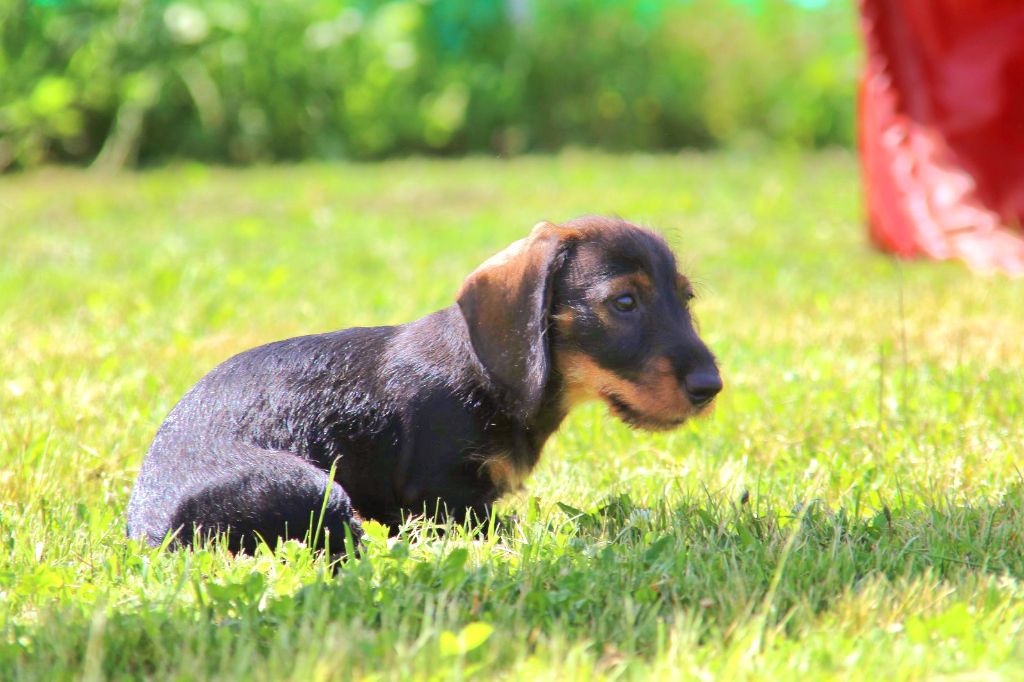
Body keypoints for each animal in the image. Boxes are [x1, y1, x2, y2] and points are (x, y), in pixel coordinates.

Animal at [125, 215, 720, 548]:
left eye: (686, 298)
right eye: (624, 302)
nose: (711, 386)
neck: (485, 378)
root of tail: (149, 532)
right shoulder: (445, 500)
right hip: (314, 489)